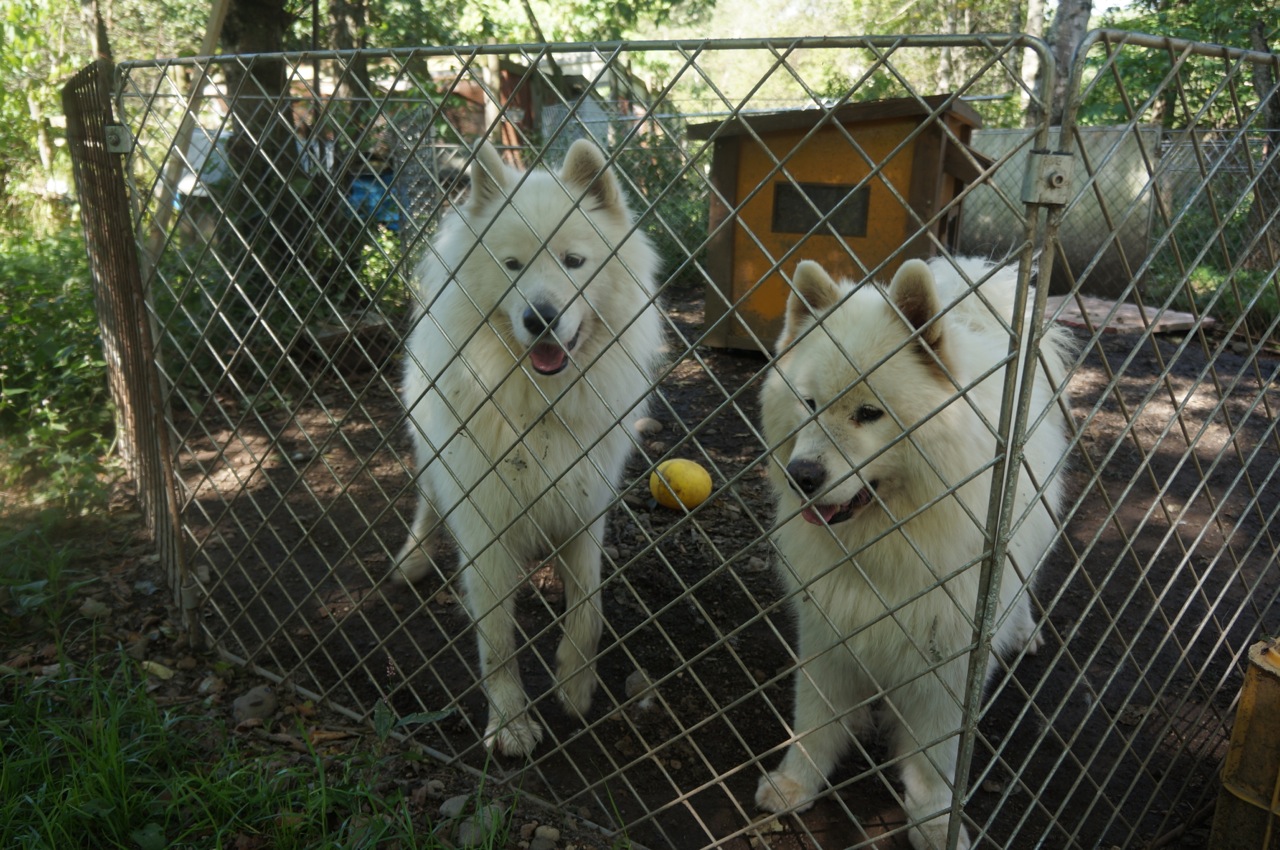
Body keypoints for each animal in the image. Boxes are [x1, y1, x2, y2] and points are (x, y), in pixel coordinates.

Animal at [394, 139, 665, 757]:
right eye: (513, 265)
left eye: (573, 261)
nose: (539, 318)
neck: (536, 406)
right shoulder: (484, 524)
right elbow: (497, 640)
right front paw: (510, 724)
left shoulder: (584, 506)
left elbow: (588, 609)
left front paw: (575, 687)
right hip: (432, 457)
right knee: (427, 502)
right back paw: (413, 558)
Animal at [752, 257, 1075, 850]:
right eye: (809, 404)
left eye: (868, 413)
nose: (802, 475)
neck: (889, 539)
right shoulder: (829, 625)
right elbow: (815, 715)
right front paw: (796, 783)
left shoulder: (948, 656)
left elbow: (934, 753)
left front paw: (933, 820)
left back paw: (1024, 631)